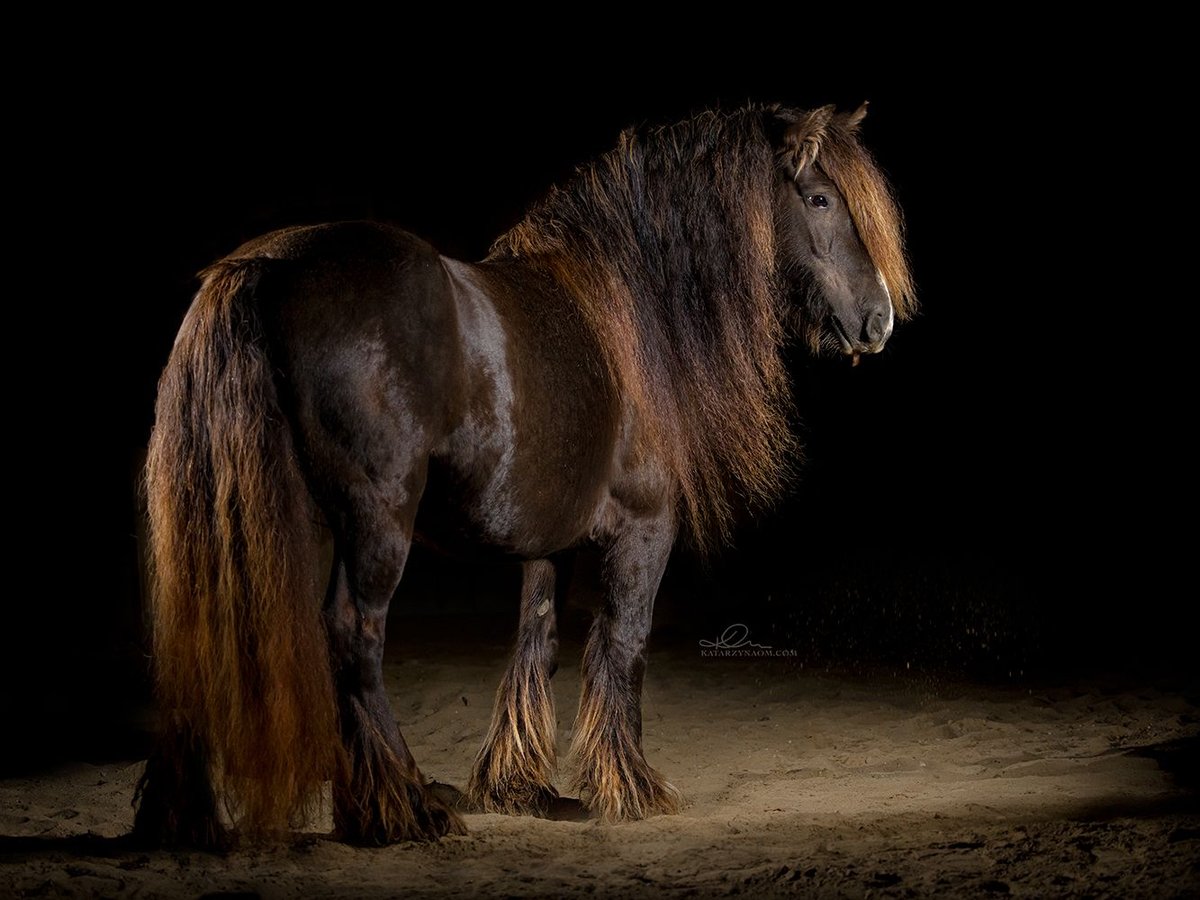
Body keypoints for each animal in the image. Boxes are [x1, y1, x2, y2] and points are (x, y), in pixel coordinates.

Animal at [136, 102, 912, 849]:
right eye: (819, 198)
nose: (879, 319)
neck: (622, 309)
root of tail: (267, 269)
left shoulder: (549, 543)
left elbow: (535, 646)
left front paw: (521, 787)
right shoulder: (644, 528)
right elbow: (624, 643)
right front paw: (628, 788)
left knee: (200, 640)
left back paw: (191, 820)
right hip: (375, 520)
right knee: (354, 637)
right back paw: (404, 809)